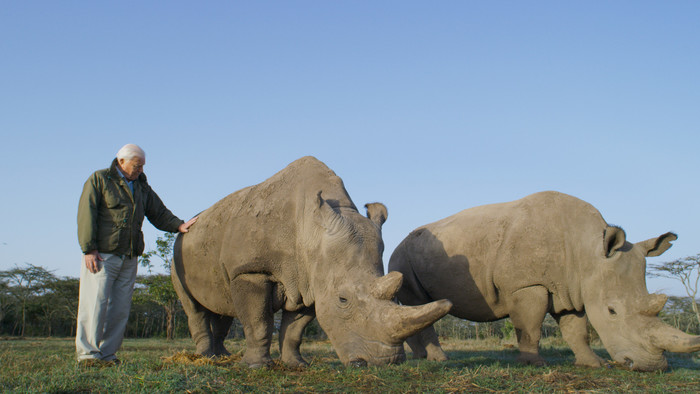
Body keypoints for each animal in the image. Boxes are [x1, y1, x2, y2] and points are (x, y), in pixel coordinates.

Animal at [172, 155, 452, 368]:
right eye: (343, 300)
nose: (386, 362)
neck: (312, 234)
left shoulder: (309, 280)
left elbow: (295, 329)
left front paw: (296, 364)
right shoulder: (251, 271)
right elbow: (259, 322)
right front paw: (257, 367)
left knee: (222, 304)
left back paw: (222, 356)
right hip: (178, 254)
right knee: (193, 306)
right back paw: (207, 357)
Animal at [388, 192, 696, 370]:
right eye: (612, 311)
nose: (653, 367)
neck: (587, 250)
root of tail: (400, 241)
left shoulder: (572, 289)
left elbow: (576, 330)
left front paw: (593, 365)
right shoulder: (527, 285)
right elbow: (530, 326)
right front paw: (533, 363)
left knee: (417, 309)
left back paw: (422, 359)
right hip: (403, 258)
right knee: (421, 305)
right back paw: (439, 359)